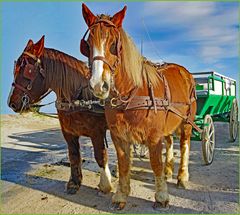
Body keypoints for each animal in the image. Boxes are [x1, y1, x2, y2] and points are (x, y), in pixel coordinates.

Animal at [7, 36, 112, 195]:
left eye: (27, 70)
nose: (11, 103)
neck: (78, 98)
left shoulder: (97, 133)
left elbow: (100, 156)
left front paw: (106, 184)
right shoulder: (68, 133)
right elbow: (74, 156)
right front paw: (74, 182)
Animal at [80, 4, 199, 209]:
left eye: (114, 44)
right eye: (88, 44)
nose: (98, 85)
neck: (132, 95)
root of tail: (185, 72)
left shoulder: (153, 136)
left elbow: (155, 163)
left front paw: (161, 196)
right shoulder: (118, 136)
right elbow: (123, 164)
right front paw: (121, 195)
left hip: (186, 123)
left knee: (184, 145)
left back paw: (182, 177)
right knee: (170, 142)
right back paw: (169, 170)